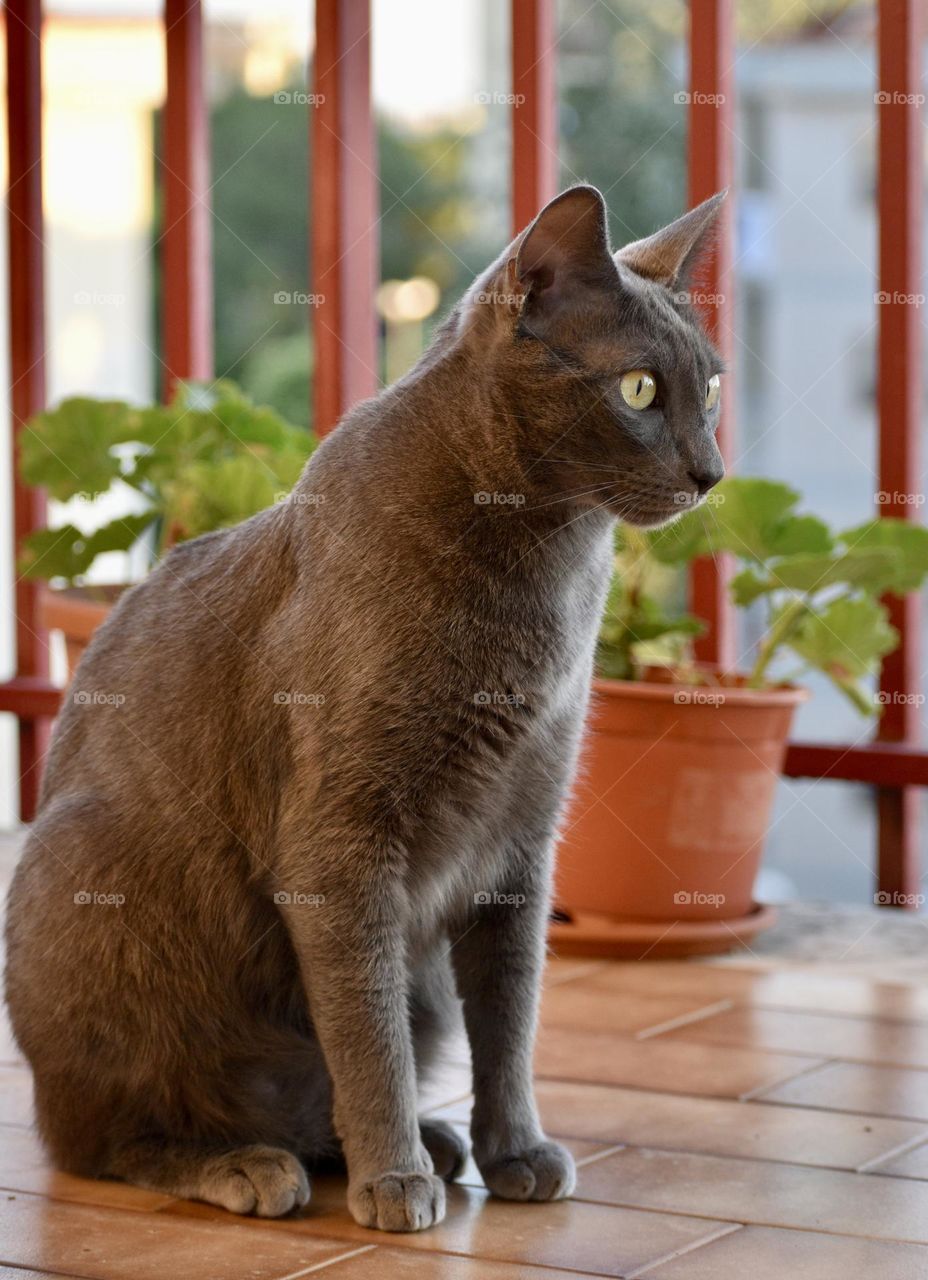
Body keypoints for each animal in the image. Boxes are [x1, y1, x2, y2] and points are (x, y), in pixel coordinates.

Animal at [1, 183, 721, 1228]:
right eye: (638, 391)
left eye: (711, 390)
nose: (713, 472)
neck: (547, 569)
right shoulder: (340, 844)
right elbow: (366, 1026)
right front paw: (394, 1180)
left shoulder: (523, 840)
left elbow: (511, 1017)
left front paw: (514, 1151)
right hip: (89, 876)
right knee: (103, 1136)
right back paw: (250, 1164)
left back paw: (423, 1139)